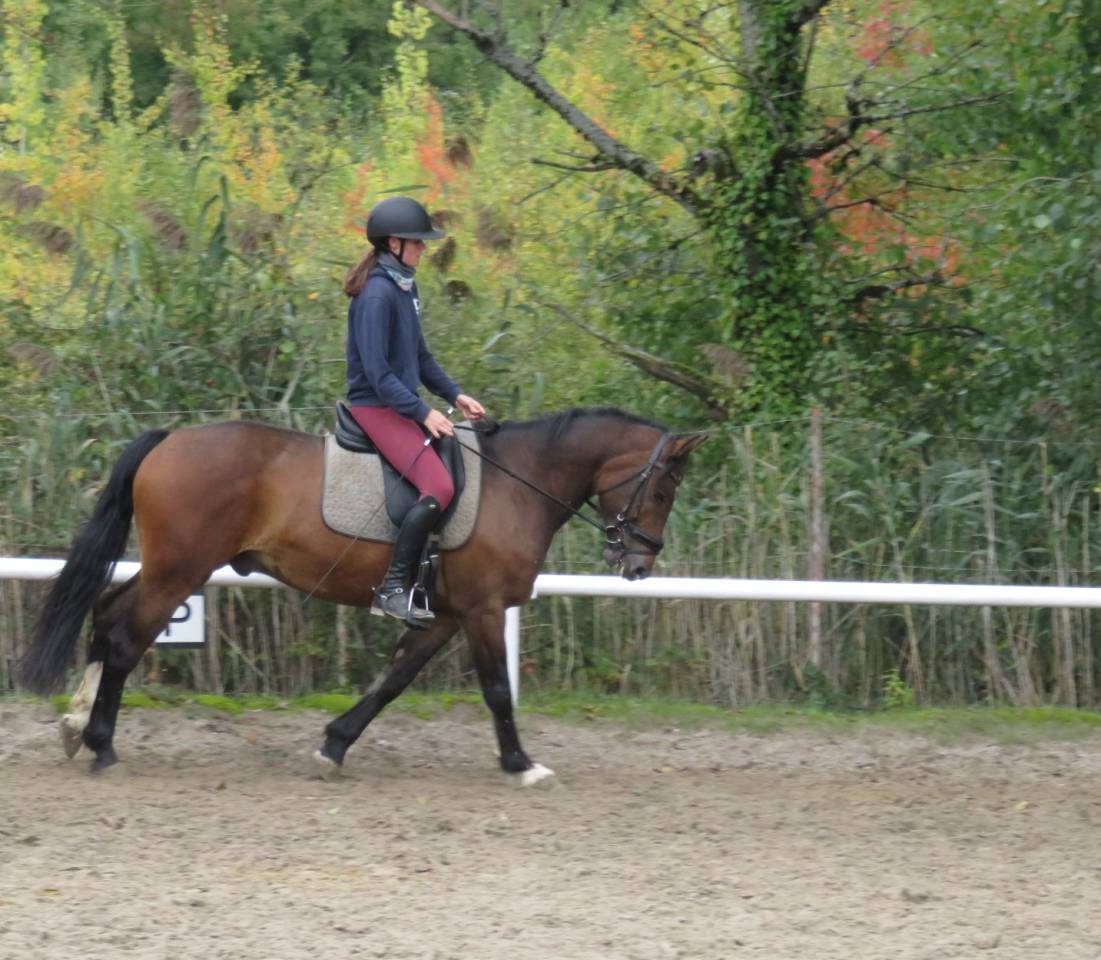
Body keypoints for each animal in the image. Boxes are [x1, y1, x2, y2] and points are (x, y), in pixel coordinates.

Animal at [19, 406, 706, 785]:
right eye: (662, 490)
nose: (637, 564)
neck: (520, 483)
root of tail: (169, 441)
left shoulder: (443, 614)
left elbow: (392, 682)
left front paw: (333, 745)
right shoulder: (482, 610)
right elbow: (496, 690)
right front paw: (521, 764)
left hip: (169, 569)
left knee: (106, 618)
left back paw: (76, 727)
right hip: (179, 572)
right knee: (124, 639)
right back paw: (102, 745)